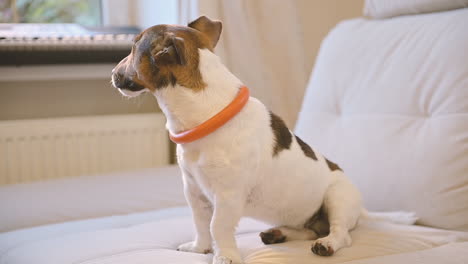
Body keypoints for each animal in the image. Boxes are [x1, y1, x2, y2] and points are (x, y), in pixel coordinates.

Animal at [110, 16, 416, 264]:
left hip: (337, 197)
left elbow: (217, 226)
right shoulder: (194, 191)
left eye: (134, 49)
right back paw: (279, 233)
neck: (204, 113)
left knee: (340, 233)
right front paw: (200, 248)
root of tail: (361, 210)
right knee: (308, 230)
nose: (112, 74)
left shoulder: (228, 196)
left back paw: (327, 243)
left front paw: (225, 256)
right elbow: (201, 224)